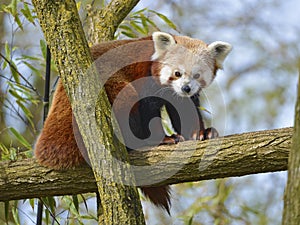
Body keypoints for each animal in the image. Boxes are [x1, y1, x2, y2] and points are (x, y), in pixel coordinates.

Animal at [35, 31, 232, 214]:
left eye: (197, 75)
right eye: (177, 73)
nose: (186, 88)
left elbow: (185, 109)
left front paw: (201, 133)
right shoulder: (146, 76)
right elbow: (148, 109)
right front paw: (162, 139)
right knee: (125, 96)